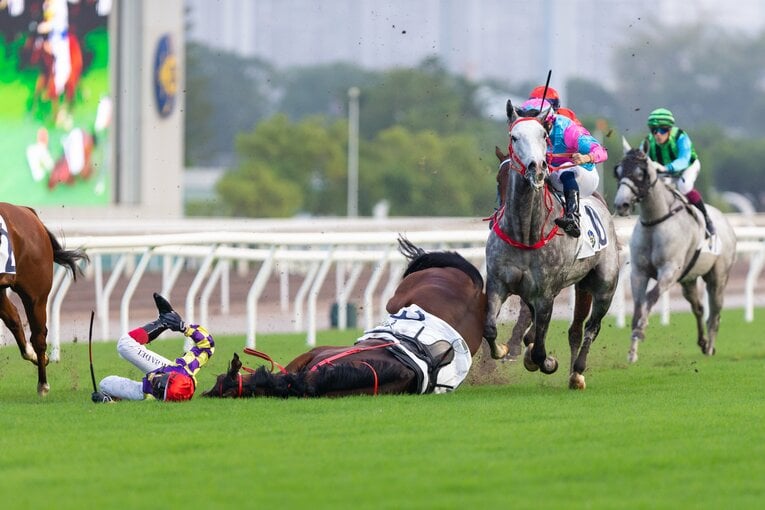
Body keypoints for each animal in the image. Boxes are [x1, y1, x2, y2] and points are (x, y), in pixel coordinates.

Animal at [483, 101, 620, 390]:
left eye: (543, 136)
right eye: (514, 136)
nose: (537, 167)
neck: (525, 232)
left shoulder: (545, 293)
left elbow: (539, 349)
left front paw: (546, 362)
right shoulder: (498, 283)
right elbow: (490, 328)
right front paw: (504, 349)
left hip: (604, 285)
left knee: (591, 327)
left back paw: (577, 371)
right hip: (582, 285)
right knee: (575, 328)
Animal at [613, 143, 737, 362]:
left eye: (640, 173)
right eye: (618, 171)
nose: (622, 204)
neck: (655, 221)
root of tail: (725, 221)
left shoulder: (669, 271)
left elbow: (650, 297)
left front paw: (640, 331)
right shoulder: (639, 272)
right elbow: (638, 305)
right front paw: (632, 352)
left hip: (718, 277)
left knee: (715, 313)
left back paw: (710, 347)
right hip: (688, 279)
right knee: (699, 308)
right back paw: (703, 342)